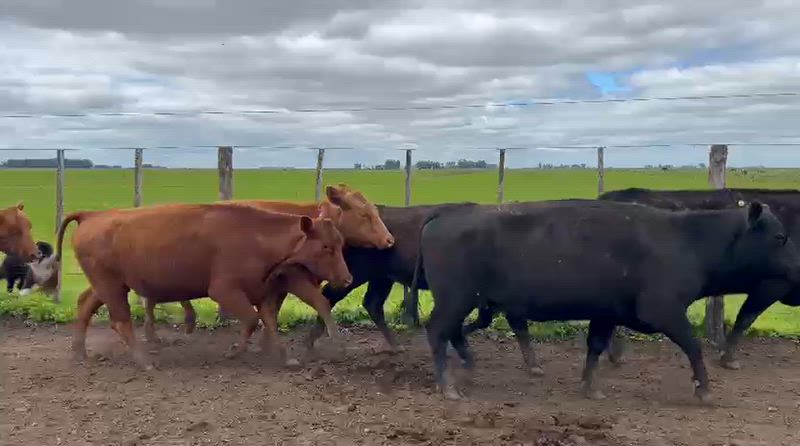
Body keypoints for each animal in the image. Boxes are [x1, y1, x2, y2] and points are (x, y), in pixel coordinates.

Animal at [52, 202, 353, 370]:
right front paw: (234, 352)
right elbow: (252, 320)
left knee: (85, 305)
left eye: (340, 244)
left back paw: (79, 352)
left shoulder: (264, 292)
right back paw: (144, 362)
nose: (348, 278)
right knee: (121, 320)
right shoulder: (224, 291)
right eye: (326, 247)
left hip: (107, 286)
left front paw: (285, 358)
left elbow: (268, 321)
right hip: (111, 286)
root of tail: (91, 215)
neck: (259, 236)